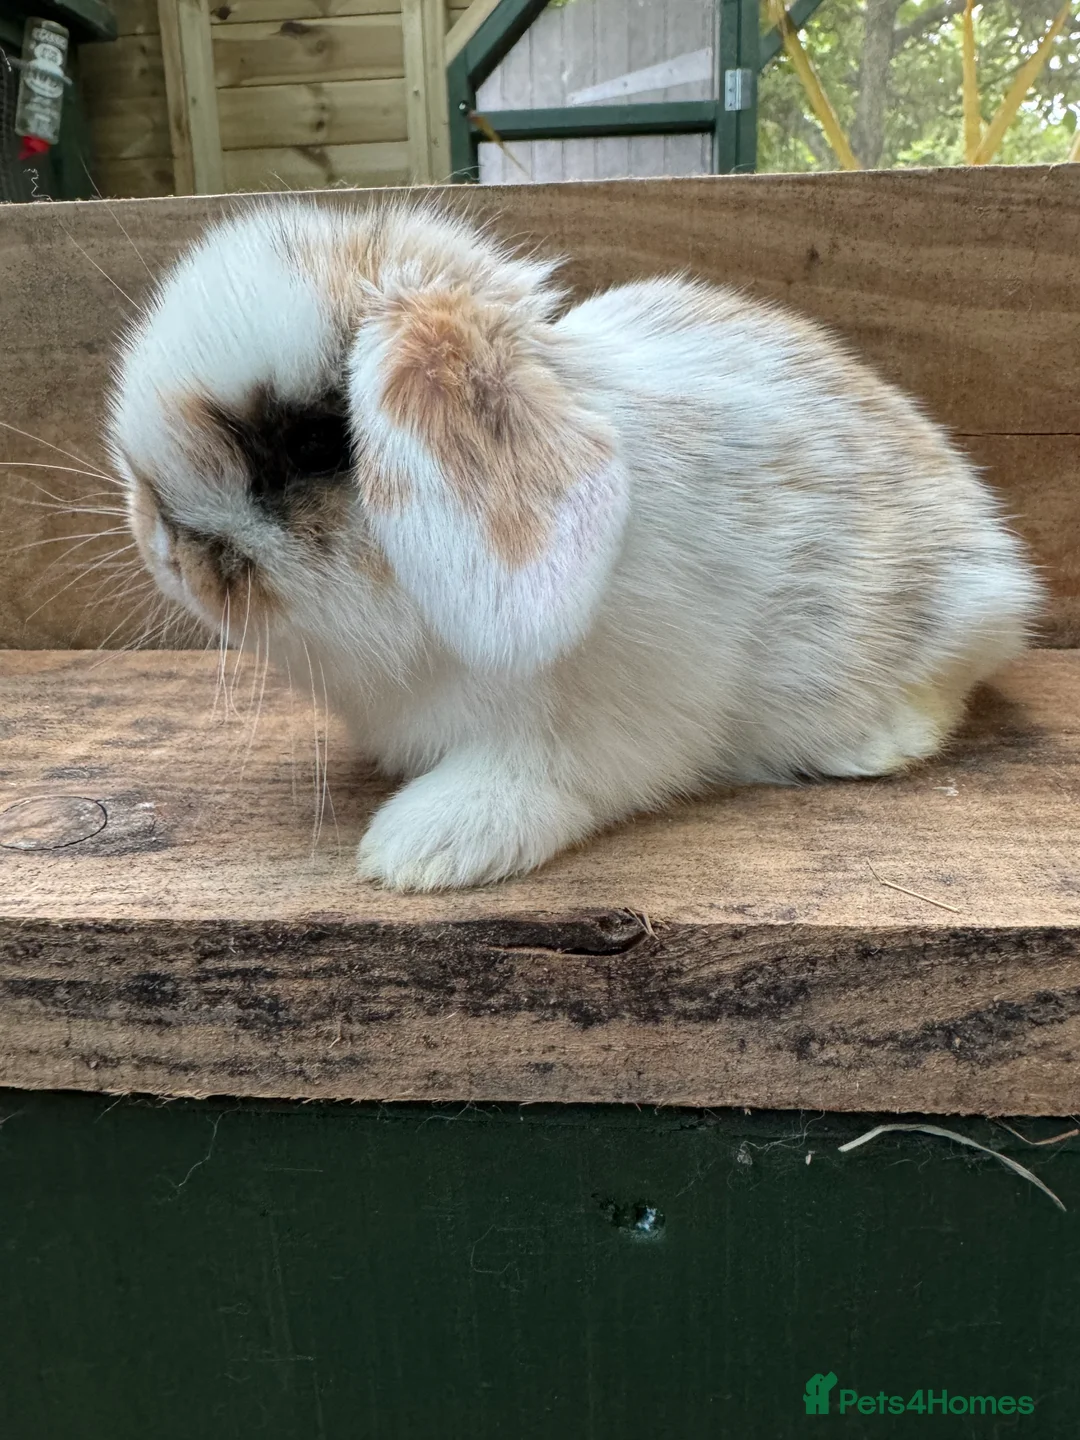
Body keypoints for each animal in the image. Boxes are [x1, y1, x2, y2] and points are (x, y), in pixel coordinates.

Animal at [106, 198, 1042, 892]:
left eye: (311, 444)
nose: (162, 541)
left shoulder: (604, 724)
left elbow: (544, 778)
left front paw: (417, 852)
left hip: (956, 620)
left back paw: (875, 744)